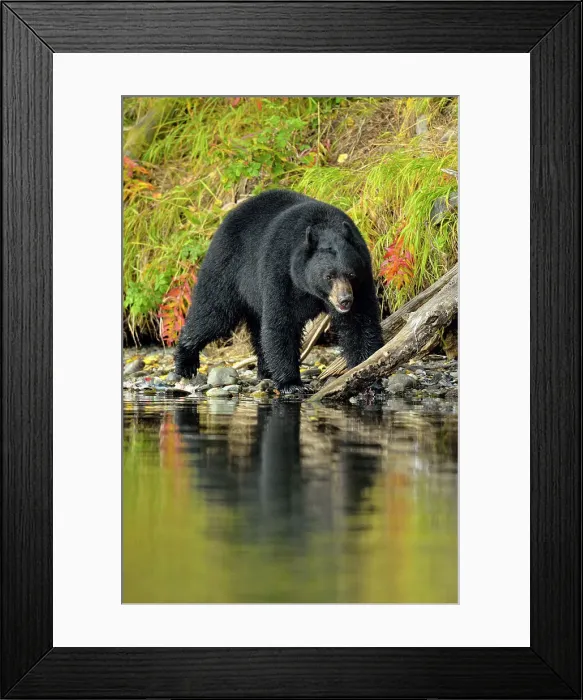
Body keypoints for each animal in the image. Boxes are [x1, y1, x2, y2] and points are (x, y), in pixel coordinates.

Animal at [175, 189, 384, 392]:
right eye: (329, 276)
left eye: (351, 274)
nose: (345, 300)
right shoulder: (282, 272)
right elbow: (282, 322)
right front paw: (291, 383)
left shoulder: (363, 280)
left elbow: (359, 323)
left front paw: (368, 374)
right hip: (227, 267)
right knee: (214, 313)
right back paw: (185, 361)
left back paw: (265, 370)